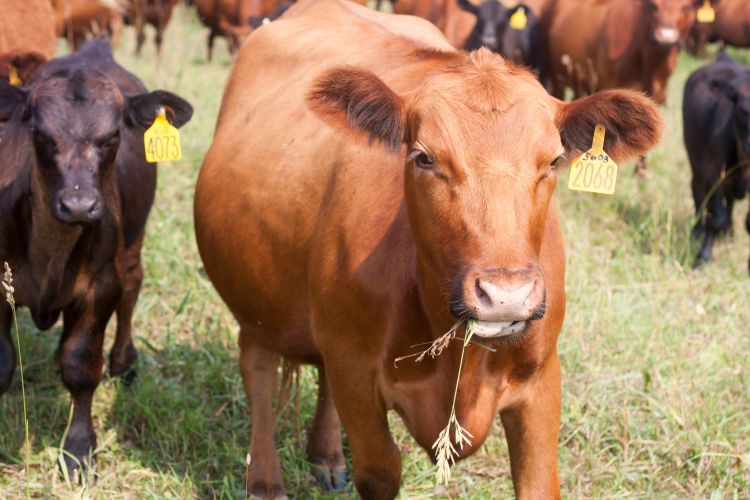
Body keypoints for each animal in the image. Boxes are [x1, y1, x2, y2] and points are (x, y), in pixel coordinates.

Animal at [0, 40, 194, 476]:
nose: (79, 205)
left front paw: (78, 447)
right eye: (39, 133)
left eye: (113, 135)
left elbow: (82, 364)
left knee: (133, 285)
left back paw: (124, 362)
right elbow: (2, 364)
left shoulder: (101, 286)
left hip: (134, 237)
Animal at [194, 0, 664, 496]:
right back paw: (264, 478)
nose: (506, 296)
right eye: (424, 158)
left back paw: (325, 456)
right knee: (258, 370)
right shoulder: (355, 373)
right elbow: (380, 470)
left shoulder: (542, 381)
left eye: (553, 161)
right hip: (253, 299)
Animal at [548, 0, 700, 104]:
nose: (665, 37)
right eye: (653, 5)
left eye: (686, 7)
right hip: (557, 80)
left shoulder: (658, 90)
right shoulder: (609, 83)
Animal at [684, 51, 748, 270]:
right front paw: (703, 256)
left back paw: (728, 231)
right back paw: (697, 230)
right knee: (697, 189)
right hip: (695, 159)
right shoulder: (712, 171)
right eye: (742, 111)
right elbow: (716, 216)